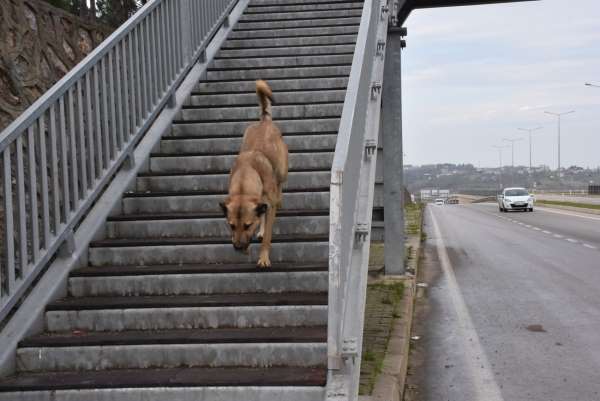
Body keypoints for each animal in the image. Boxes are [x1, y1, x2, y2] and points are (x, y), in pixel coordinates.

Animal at [220, 79, 288, 266]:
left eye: (247, 225)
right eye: (231, 226)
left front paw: (263, 258)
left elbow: (268, 238)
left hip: (282, 171)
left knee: (280, 184)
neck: (245, 178)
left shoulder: (269, 207)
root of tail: (264, 120)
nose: (237, 248)